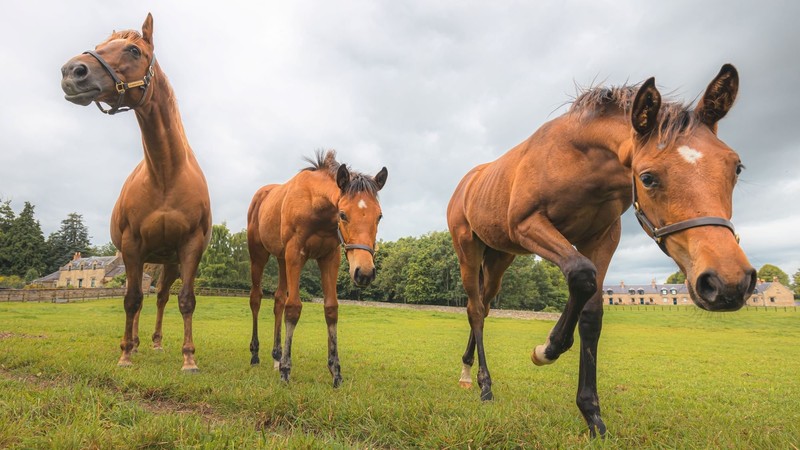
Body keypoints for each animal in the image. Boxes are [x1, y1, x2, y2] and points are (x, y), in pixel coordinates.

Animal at [61, 14, 212, 372]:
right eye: (100, 45)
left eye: (133, 50)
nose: (72, 71)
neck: (166, 175)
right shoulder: (132, 246)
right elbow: (131, 300)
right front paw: (125, 354)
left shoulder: (190, 248)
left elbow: (185, 300)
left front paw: (189, 358)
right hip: (143, 259)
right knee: (140, 299)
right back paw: (137, 343)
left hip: (167, 264)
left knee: (160, 298)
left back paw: (155, 342)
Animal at [248, 150, 390, 386]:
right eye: (342, 214)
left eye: (379, 216)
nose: (364, 273)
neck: (315, 205)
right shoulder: (295, 253)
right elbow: (293, 308)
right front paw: (286, 370)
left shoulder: (330, 257)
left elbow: (331, 309)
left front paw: (335, 371)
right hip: (258, 255)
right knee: (256, 299)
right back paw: (256, 354)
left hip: (281, 259)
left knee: (278, 300)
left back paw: (276, 356)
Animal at [450, 65, 756, 438]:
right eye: (648, 177)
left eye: (736, 168)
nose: (728, 283)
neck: (579, 158)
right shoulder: (528, 224)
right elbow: (581, 275)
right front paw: (547, 349)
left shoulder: (602, 238)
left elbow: (592, 315)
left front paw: (591, 413)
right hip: (468, 252)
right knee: (475, 310)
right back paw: (482, 384)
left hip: (499, 258)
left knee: (484, 305)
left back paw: (468, 371)